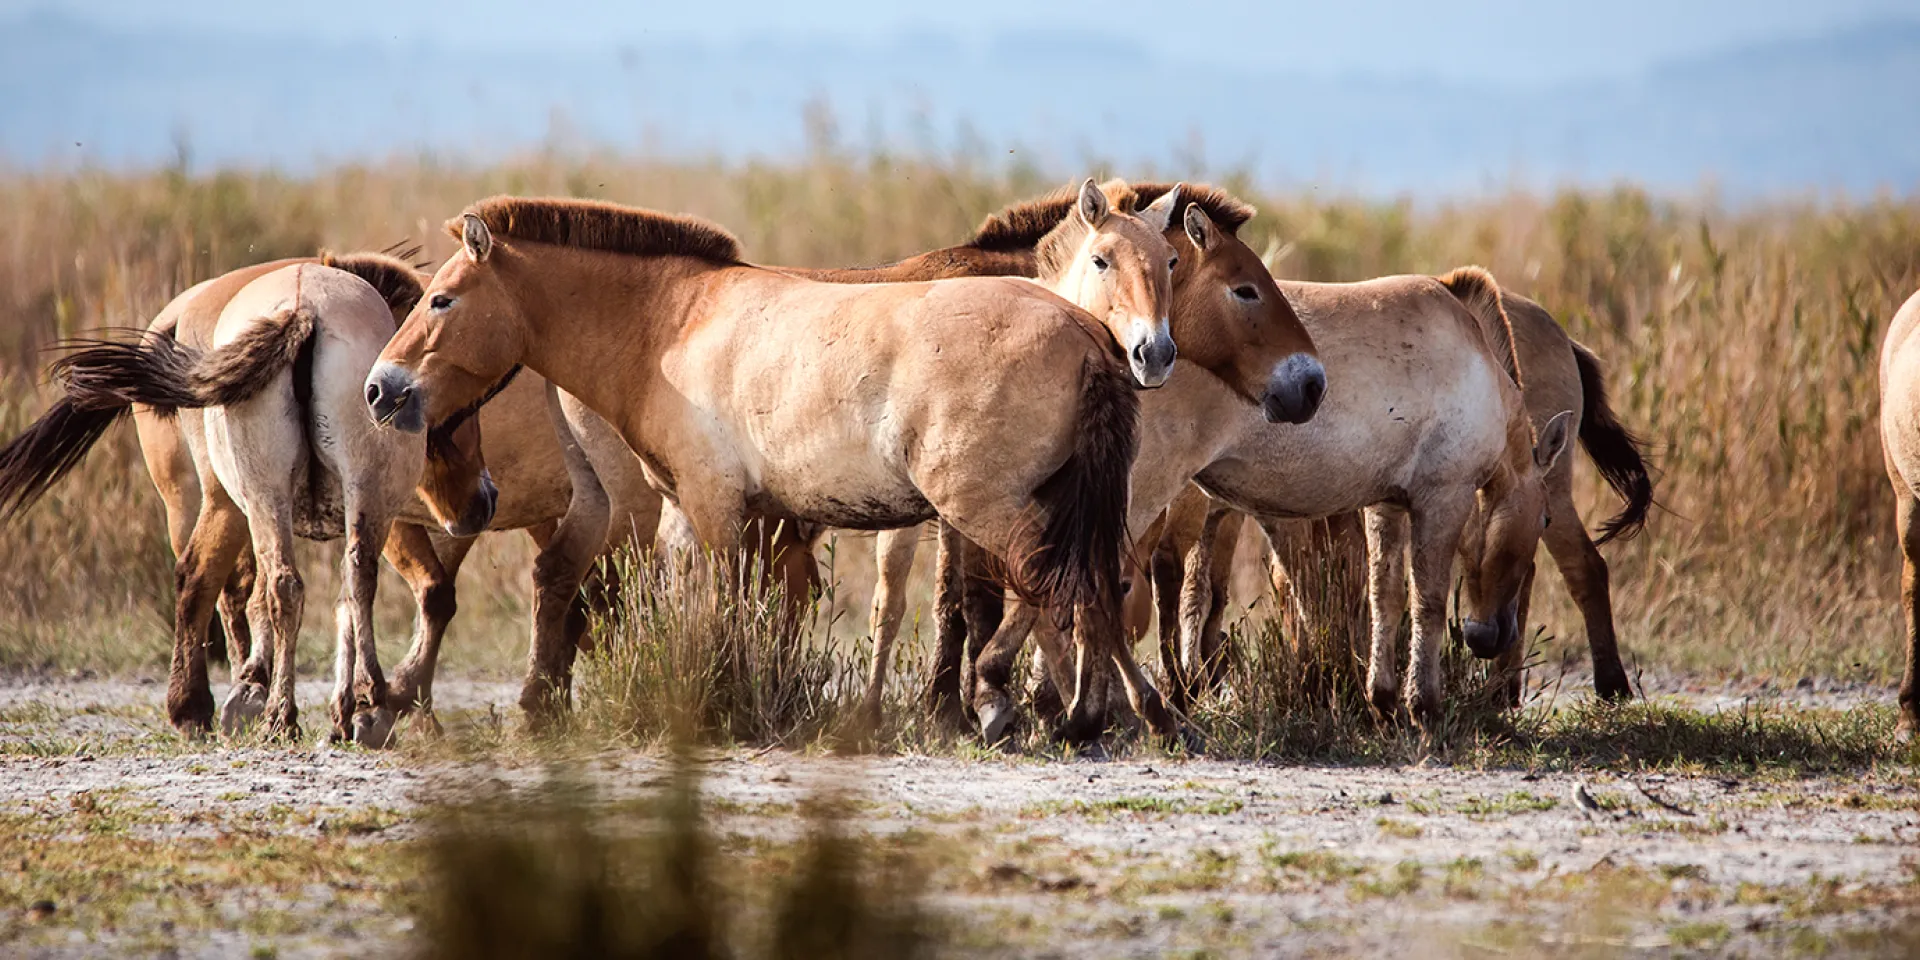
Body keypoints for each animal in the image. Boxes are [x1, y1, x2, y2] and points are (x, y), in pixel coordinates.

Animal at [0, 254, 498, 741]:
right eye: (466, 408)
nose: (485, 501)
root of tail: (303, 307)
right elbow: (326, 600)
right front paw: (322, 705)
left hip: (258, 495)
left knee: (249, 581)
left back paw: (255, 709)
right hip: (317, 494)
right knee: (296, 583)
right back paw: (296, 708)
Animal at [361, 196, 1183, 740]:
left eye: (442, 300)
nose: (379, 388)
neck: (672, 325)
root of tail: (1086, 332)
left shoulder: (718, 510)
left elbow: (728, 607)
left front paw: (723, 700)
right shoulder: (701, 514)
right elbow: (703, 604)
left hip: (991, 507)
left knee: (1056, 584)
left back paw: (1048, 706)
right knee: (1090, 585)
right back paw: (1114, 715)